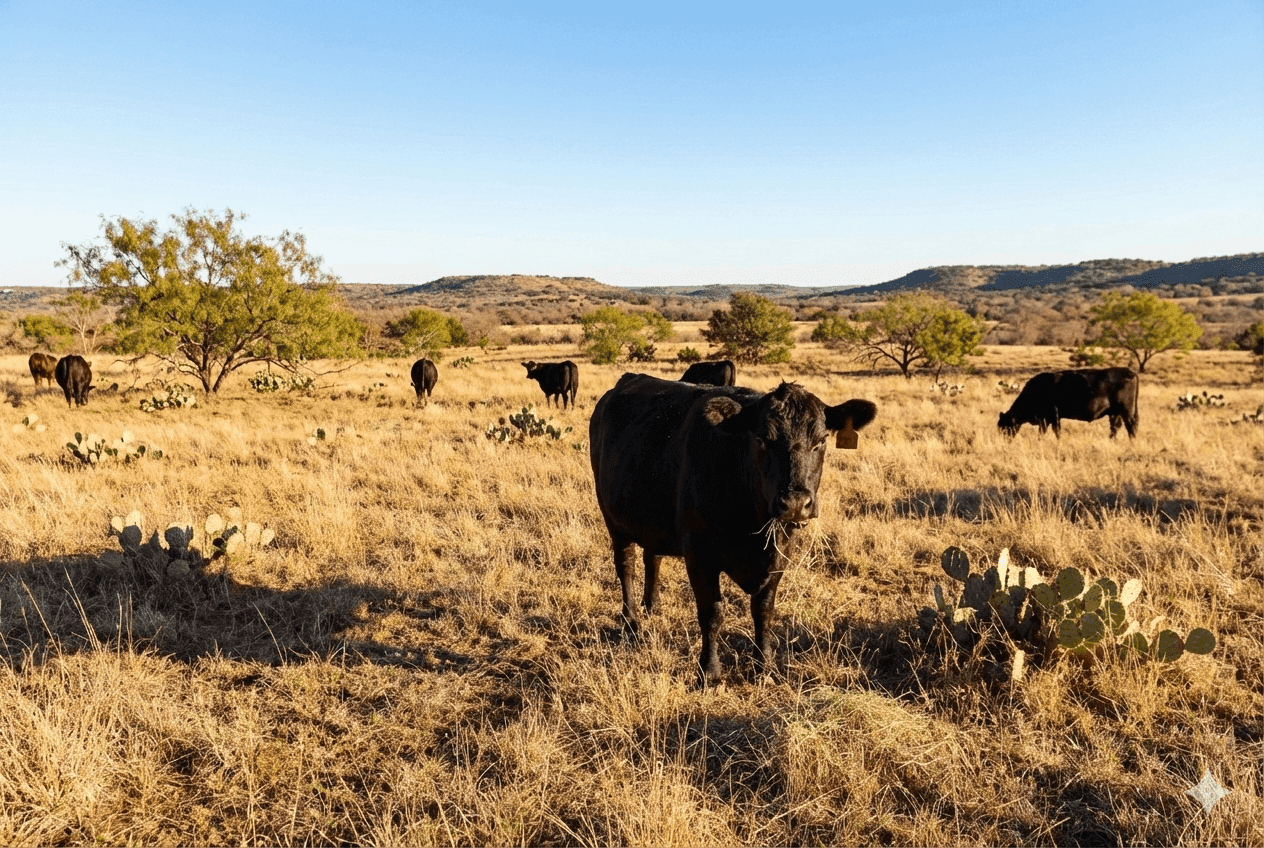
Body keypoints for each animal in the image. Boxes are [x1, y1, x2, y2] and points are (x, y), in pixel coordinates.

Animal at [590, 373, 877, 685]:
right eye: (761, 439)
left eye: (822, 440)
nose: (795, 503)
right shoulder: (699, 556)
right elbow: (712, 613)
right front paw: (709, 672)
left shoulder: (780, 555)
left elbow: (764, 612)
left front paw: (764, 666)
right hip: (612, 518)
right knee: (626, 566)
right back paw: (631, 621)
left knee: (652, 557)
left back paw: (653, 606)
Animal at [998, 367, 1138, 439]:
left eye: (1005, 426)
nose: (1004, 440)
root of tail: (1129, 372)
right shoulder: (1048, 419)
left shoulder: (1051, 416)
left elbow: (1054, 431)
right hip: (1115, 413)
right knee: (1115, 427)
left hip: (1126, 411)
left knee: (1130, 426)